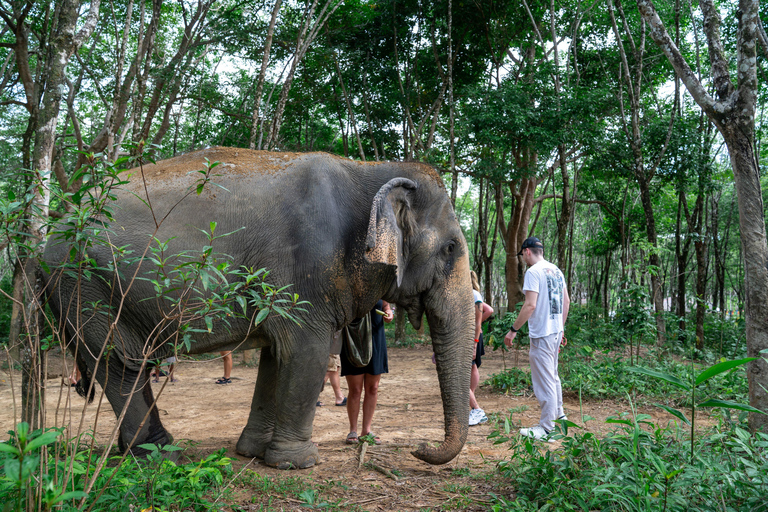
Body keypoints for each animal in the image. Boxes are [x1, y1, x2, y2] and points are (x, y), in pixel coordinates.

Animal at [43, 147, 475, 469]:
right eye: (451, 248)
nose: (419, 447)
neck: (369, 169)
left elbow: (275, 356)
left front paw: (251, 452)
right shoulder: (305, 270)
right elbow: (305, 353)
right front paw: (297, 463)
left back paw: (146, 450)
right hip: (85, 288)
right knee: (119, 364)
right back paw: (156, 455)